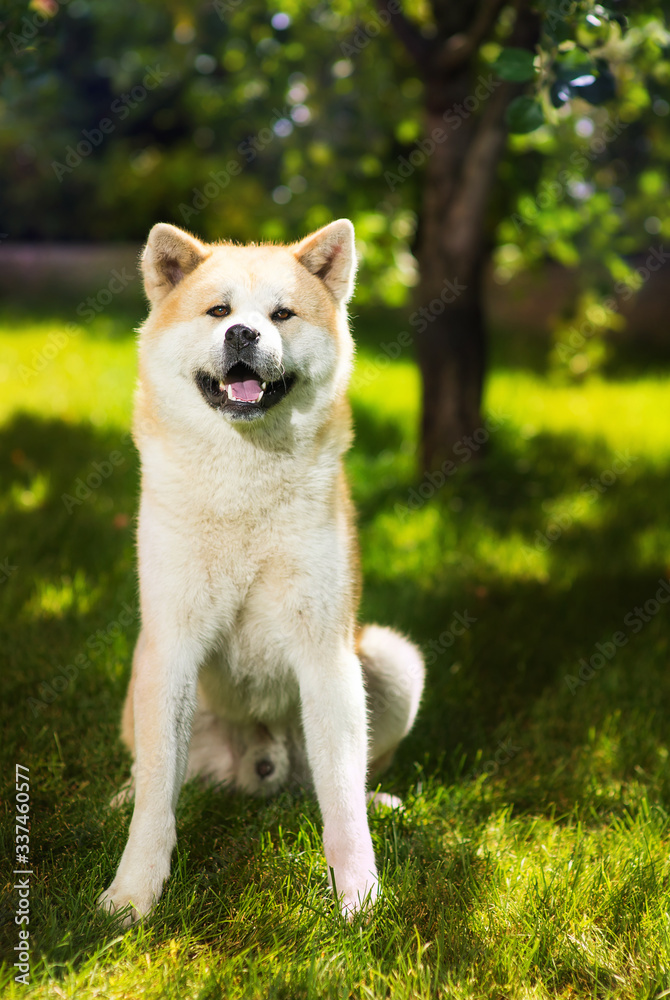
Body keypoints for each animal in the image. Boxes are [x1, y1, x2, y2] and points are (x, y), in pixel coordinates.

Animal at [99, 219, 426, 920]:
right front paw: (134, 896)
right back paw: (120, 800)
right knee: (162, 778)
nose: (243, 335)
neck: (243, 486)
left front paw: (359, 898)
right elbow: (157, 800)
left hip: (391, 661)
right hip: (143, 677)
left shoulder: (326, 654)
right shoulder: (170, 647)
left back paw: (379, 802)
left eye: (281, 315)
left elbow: (341, 803)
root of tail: (258, 764)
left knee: (339, 779)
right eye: (218, 311)